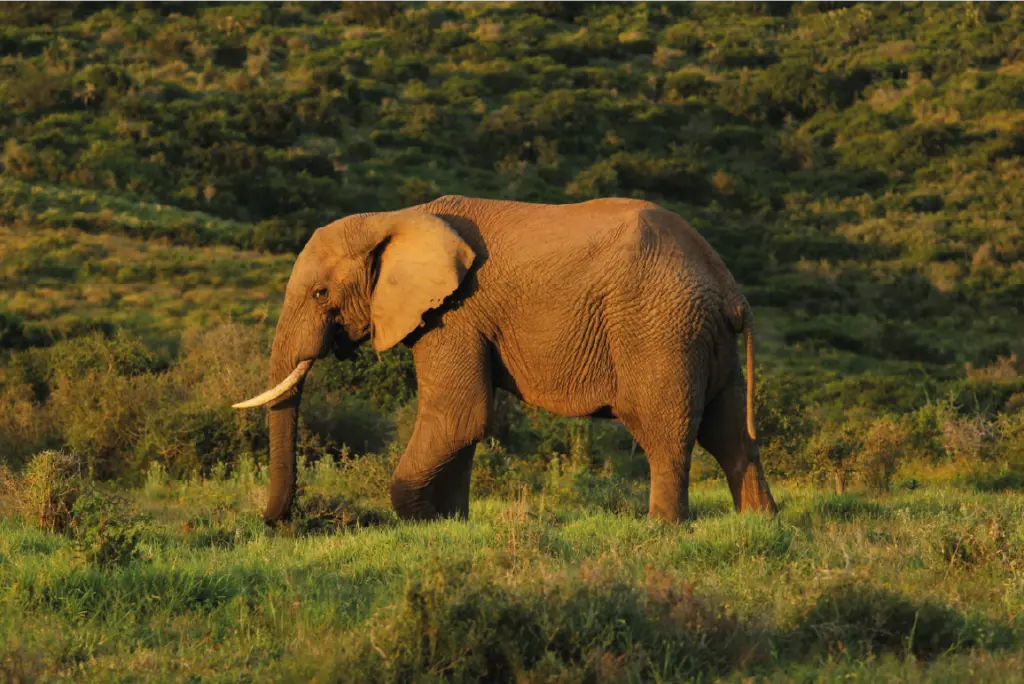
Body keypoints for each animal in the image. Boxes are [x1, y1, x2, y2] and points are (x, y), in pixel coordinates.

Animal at [233, 195, 777, 524]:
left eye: (321, 293)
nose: (272, 521)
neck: (396, 217)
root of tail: (729, 287)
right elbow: (464, 425)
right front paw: (452, 523)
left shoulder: (455, 313)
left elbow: (460, 415)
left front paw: (419, 521)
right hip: (706, 339)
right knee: (730, 434)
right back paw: (759, 522)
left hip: (660, 329)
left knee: (665, 432)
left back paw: (662, 528)